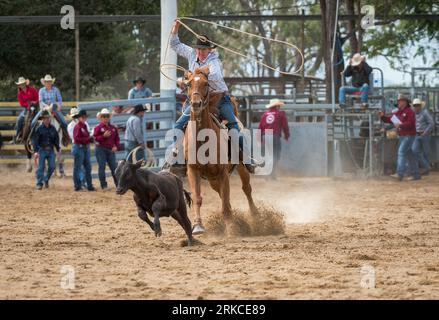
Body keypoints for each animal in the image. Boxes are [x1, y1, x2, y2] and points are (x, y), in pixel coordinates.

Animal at [182, 65, 258, 235]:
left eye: (206, 84)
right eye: (189, 84)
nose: (196, 103)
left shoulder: (223, 172)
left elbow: (225, 201)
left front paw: (230, 228)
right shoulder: (193, 170)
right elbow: (197, 198)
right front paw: (197, 226)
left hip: (240, 168)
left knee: (246, 189)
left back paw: (256, 216)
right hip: (213, 180)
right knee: (224, 196)